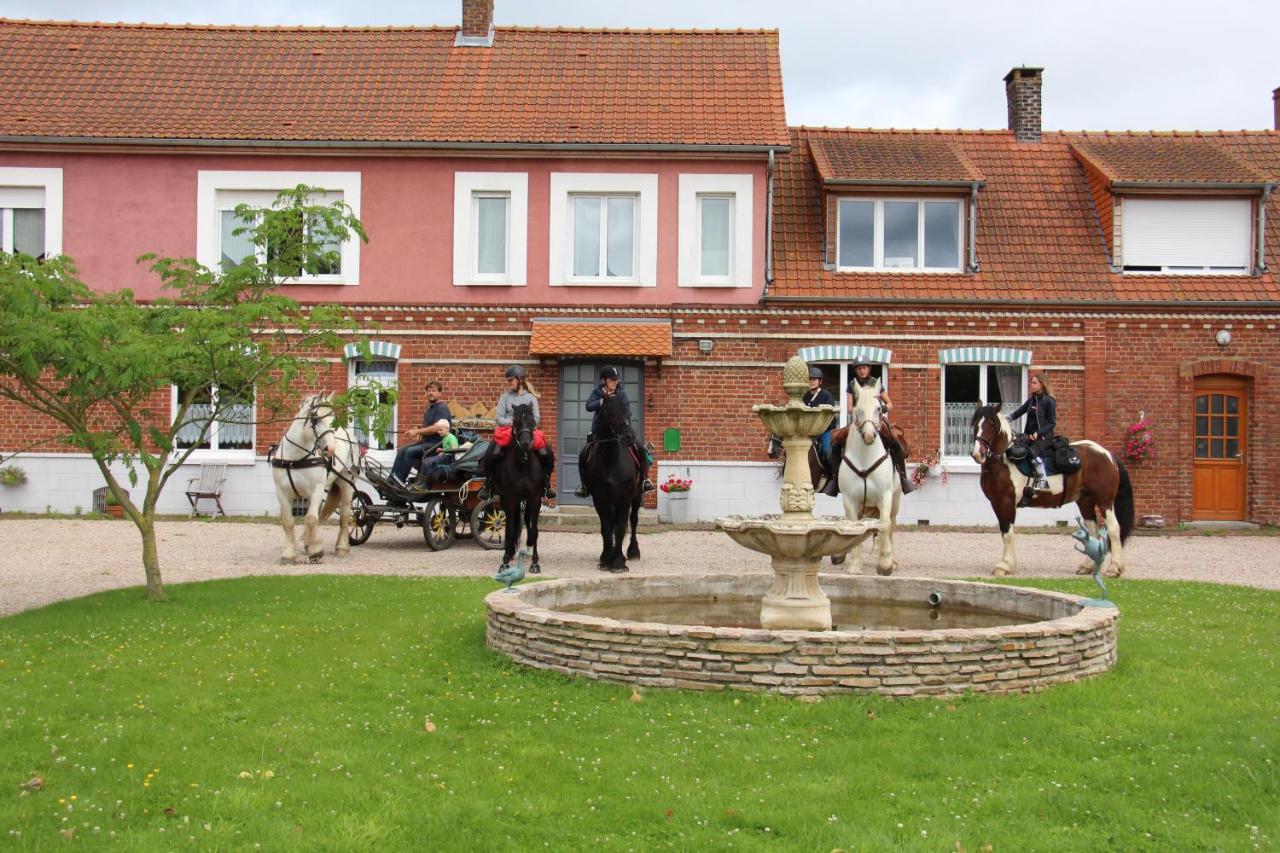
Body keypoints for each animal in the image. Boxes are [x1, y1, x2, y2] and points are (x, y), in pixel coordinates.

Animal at [270, 394, 360, 563]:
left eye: (333, 419)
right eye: (316, 419)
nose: (330, 449)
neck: (295, 460)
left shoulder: (317, 490)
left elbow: (311, 518)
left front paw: (316, 551)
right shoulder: (281, 492)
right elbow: (288, 522)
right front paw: (289, 553)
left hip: (347, 484)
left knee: (345, 516)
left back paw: (342, 547)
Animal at [491, 402, 547, 573]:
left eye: (532, 421)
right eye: (516, 421)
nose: (525, 443)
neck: (523, 463)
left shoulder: (535, 498)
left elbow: (534, 530)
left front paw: (535, 563)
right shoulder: (510, 498)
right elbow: (509, 529)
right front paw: (504, 562)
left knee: (528, 522)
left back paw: (526, 551)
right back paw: (510, 553)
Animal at [586, 391, 645, 571]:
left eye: (628, 411)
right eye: (610, 412)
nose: (629, 437)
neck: (610, 459)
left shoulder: (624, 499)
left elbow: (620, 527)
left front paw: (618, 561)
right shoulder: (600, 499)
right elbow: (606, 527)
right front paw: (606, 558)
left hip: (637, 495)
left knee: (633, 520)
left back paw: (633, 551)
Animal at [834, 376, 906, 571]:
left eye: (879, 409)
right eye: (858, 409)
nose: (868, 436)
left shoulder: (885, 496)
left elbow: (885, 524)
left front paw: (885, 563)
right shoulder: (850, 499)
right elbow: (852, 526)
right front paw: (855, 565)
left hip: (895, 501)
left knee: (891, 524)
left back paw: (892, 559)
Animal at [972, 404, 1136, 573]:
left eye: (991, 424)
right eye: (975, 423)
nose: (978, 453)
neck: (1003, 461)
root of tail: (1108, 454)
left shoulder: (1007, 502)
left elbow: (1008, 533)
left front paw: (1004, 566)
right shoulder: (996, 503)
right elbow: (1004, 532)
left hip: (1104, 501)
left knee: (1114, 528)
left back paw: (1115, 568)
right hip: (1085, 501)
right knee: (1093, 530)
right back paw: (1088, 566)